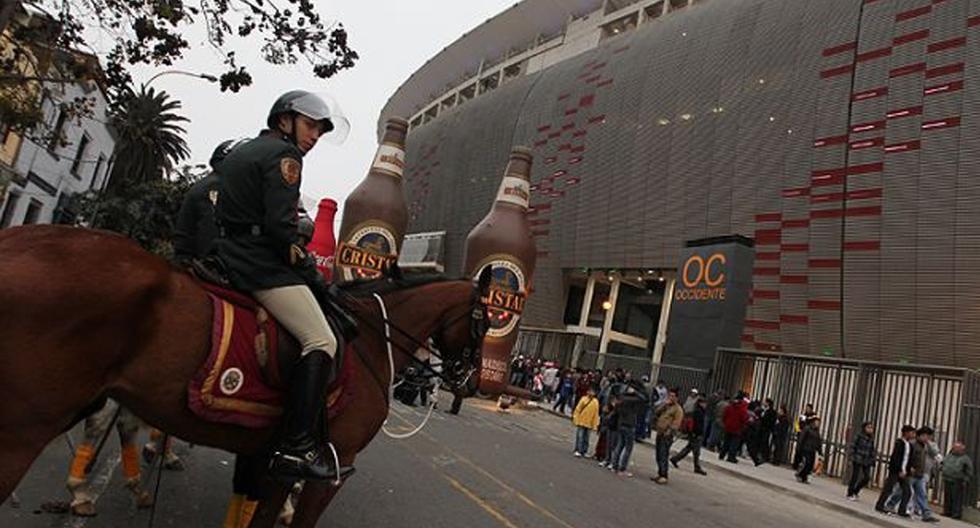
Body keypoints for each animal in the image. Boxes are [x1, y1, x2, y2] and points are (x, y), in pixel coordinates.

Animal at [0, 225, 488, 524]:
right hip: (24, 429)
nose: (470, 382)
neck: (369, 337)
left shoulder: (270, 462)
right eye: (485, 319)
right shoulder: (332, 469)